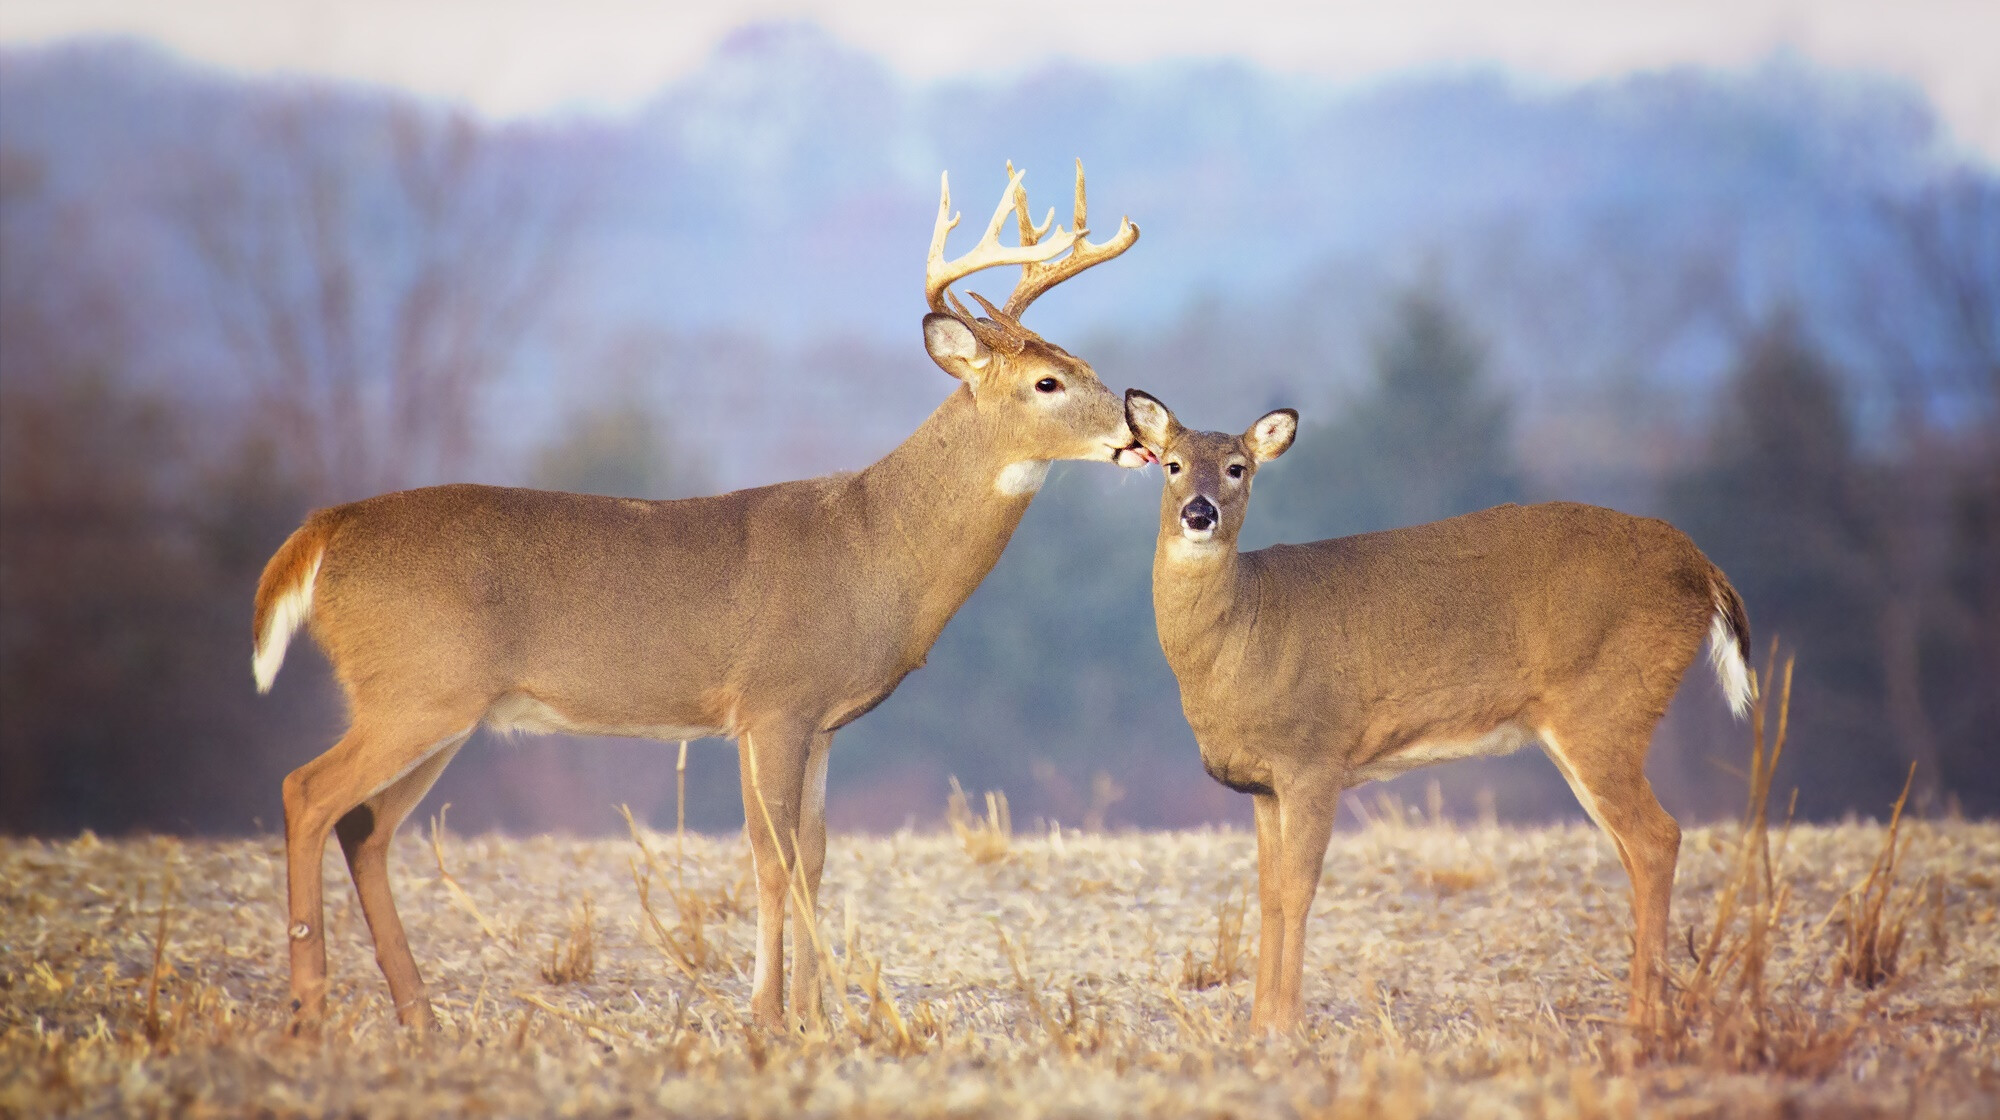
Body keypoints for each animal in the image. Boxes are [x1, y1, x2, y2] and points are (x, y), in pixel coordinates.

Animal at [256, 162, 1152, 1040]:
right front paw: (770, 1016)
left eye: (1089, 365)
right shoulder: (770, 703)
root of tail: (323, 531)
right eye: (1048, 381)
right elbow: (772, 857)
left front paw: (818, 1018)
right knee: (307, 792)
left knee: (364, 828)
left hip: (436, 704)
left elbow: (814, 854)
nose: (1139, 434)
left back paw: (419, 1016)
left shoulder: (821, 721)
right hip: (415, 687)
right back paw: (308, 1008)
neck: (873, 545)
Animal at [1128, 392, 1752, 1032]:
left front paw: (1290, 1025)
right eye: (1173, 465)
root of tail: (1702, 568)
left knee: (1657, 839)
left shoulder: (1314, 756)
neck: (1241, 638)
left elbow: (1300, 889)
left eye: (1237, 468)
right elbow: (1269, 894)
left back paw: (1642, 1021)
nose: (1199, 513)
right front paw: (1259, 1028)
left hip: (1608, 709)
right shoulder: (1265, 785)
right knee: (1635, 848)